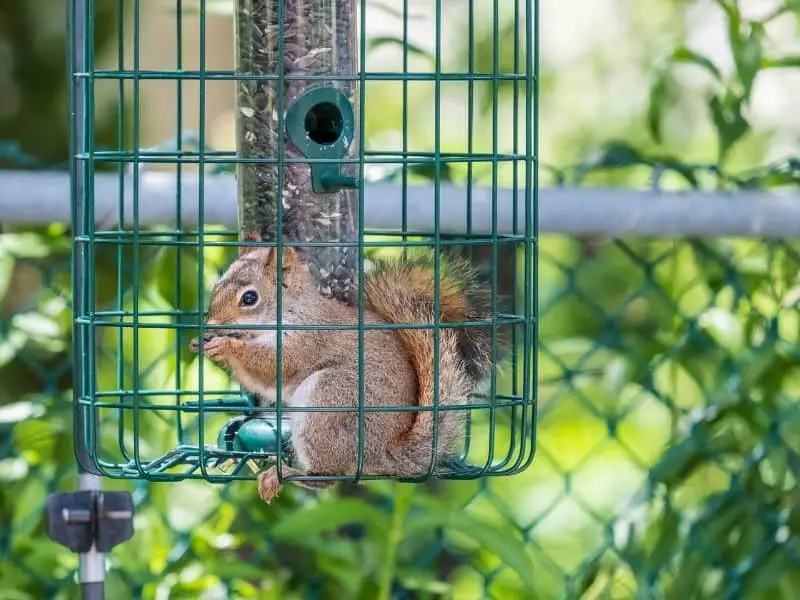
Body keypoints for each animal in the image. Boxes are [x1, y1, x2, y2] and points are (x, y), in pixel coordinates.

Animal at [191, 244, 496, 502]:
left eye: (249, 298)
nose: (211, 325)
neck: (291, 311)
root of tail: (383, 452)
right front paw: (200, 342)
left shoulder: (308, 341)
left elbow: (275, 366)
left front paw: (225, 346)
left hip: (329, 401)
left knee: (328, 477)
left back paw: (287, 475)